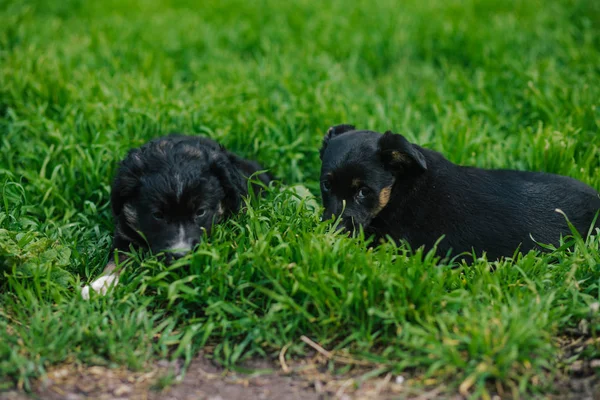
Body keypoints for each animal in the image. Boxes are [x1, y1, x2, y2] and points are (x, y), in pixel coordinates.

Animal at [81, 135, 274, 300]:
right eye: (157, 215)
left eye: (200, 212)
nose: (180, 256)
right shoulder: (125, 230)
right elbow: (118, 258)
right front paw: (101, 285)